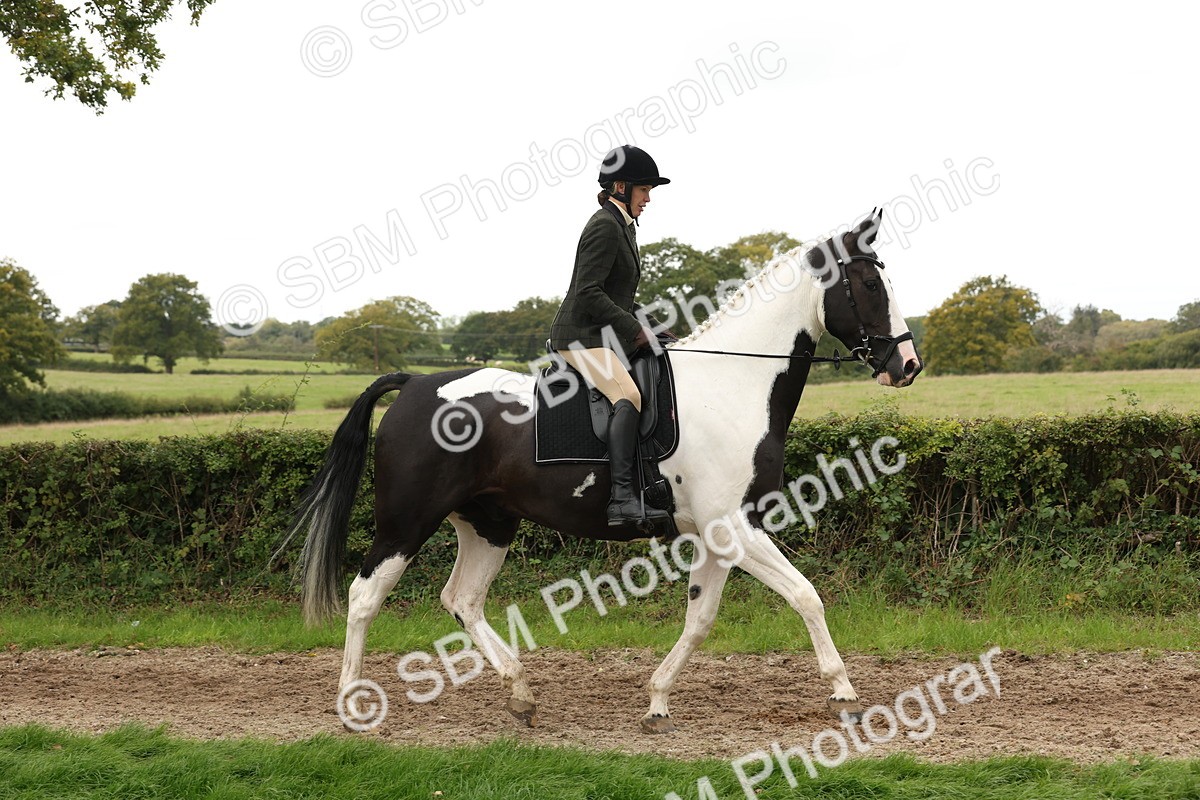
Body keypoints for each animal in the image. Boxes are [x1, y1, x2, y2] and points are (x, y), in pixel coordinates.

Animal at [286, 208, 922, 733]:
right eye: (870, 285)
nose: (907, 365)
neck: (734, 383)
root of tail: (416, 383)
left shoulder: (717, 535)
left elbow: (701, 618)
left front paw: (658, 699)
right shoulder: (737, 528)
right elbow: (806, 596)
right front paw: (844, 693)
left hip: (488, 522)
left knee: (462, 599)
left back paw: (521, 694)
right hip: (407, 519)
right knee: (365, 595)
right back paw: (353, 706)